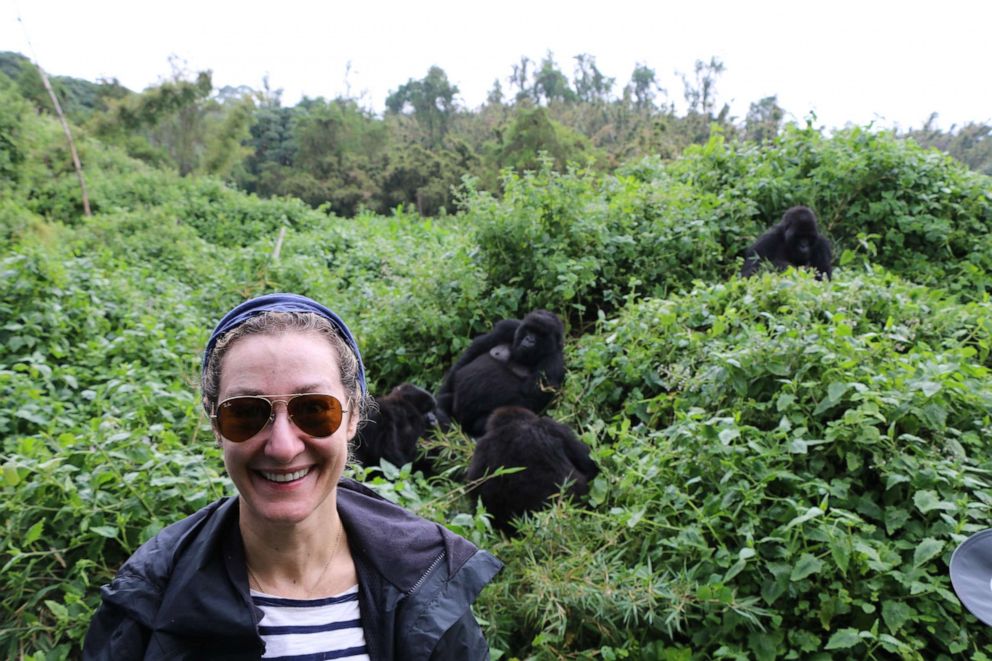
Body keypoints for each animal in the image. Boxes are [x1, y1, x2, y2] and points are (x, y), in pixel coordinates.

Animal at [436, 310, 564, 438]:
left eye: (540, 335)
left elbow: (530, 399)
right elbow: (474, 351)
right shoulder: (508, 327)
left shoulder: (553, 362)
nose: (529, 339)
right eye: (529, 330)